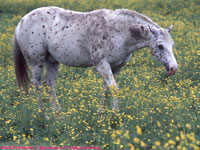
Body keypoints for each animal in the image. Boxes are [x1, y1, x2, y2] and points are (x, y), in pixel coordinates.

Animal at [12, 6, 178, 115]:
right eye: (160, 46)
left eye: (172, 44)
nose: (173, 68)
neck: (119, 32)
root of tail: (21, 22)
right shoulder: (101, 64)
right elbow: (114, 88)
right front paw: (115, 115)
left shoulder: (115, 67)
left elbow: (107, 89)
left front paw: (101, 113)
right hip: (36, 62)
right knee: (38, 85)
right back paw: (43, 114)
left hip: (52, 61)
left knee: (49, 84)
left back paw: (58, 114)